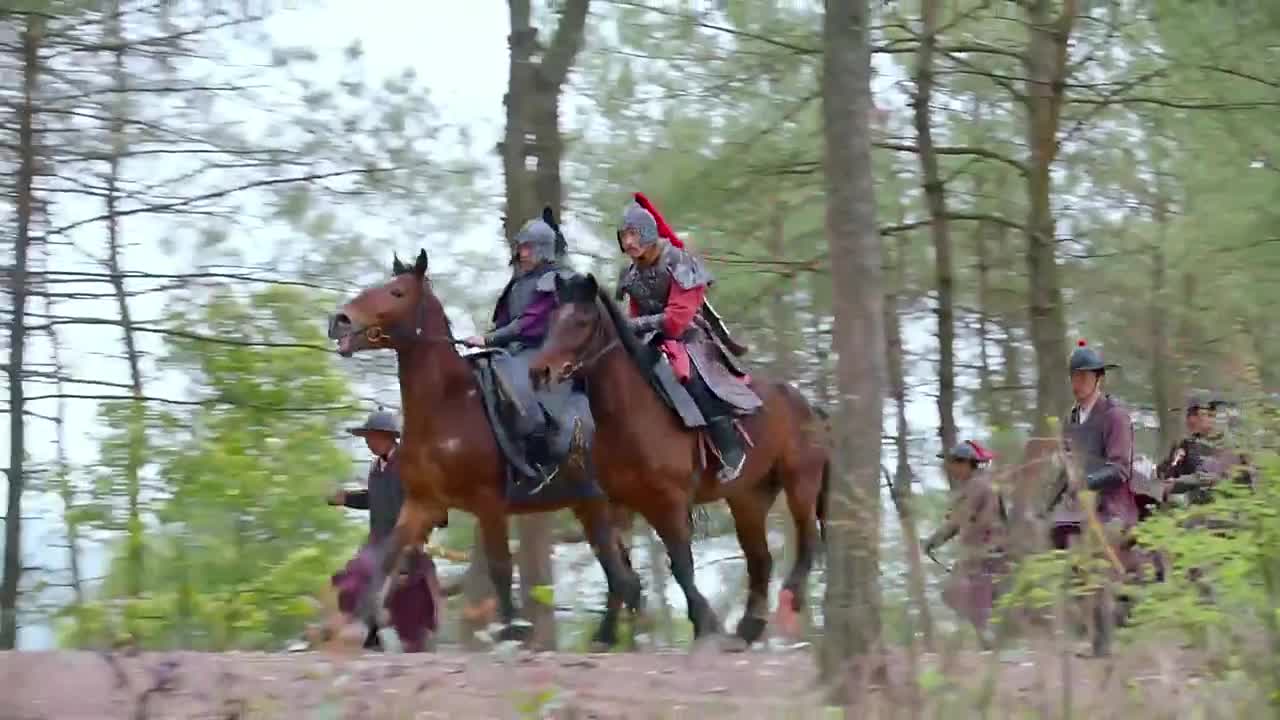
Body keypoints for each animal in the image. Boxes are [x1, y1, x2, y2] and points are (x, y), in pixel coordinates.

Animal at [326, 249, 642, 648]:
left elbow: (500, 566)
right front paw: (366, 623)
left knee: (620, 570)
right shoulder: (421, 504)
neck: (447, 405)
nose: (339, 320)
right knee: (622, 571)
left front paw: (511, 630)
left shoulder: (489, 503)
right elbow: (388, 557)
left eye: (397, 292)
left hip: (600, 504)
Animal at [527, 272, 831, 646]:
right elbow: (616, 567)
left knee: (807, 540)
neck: (628, 411)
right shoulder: (616, 505)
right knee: (760, 559)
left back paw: (787, 605)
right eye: (553, 320)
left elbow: (680, 566)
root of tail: (810, 408)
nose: (539, 372)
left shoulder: (668, 502)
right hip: (749, 499)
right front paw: (607, 633)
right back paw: (749, 627)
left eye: (582, 321)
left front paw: (705, 624)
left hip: (801, 483)